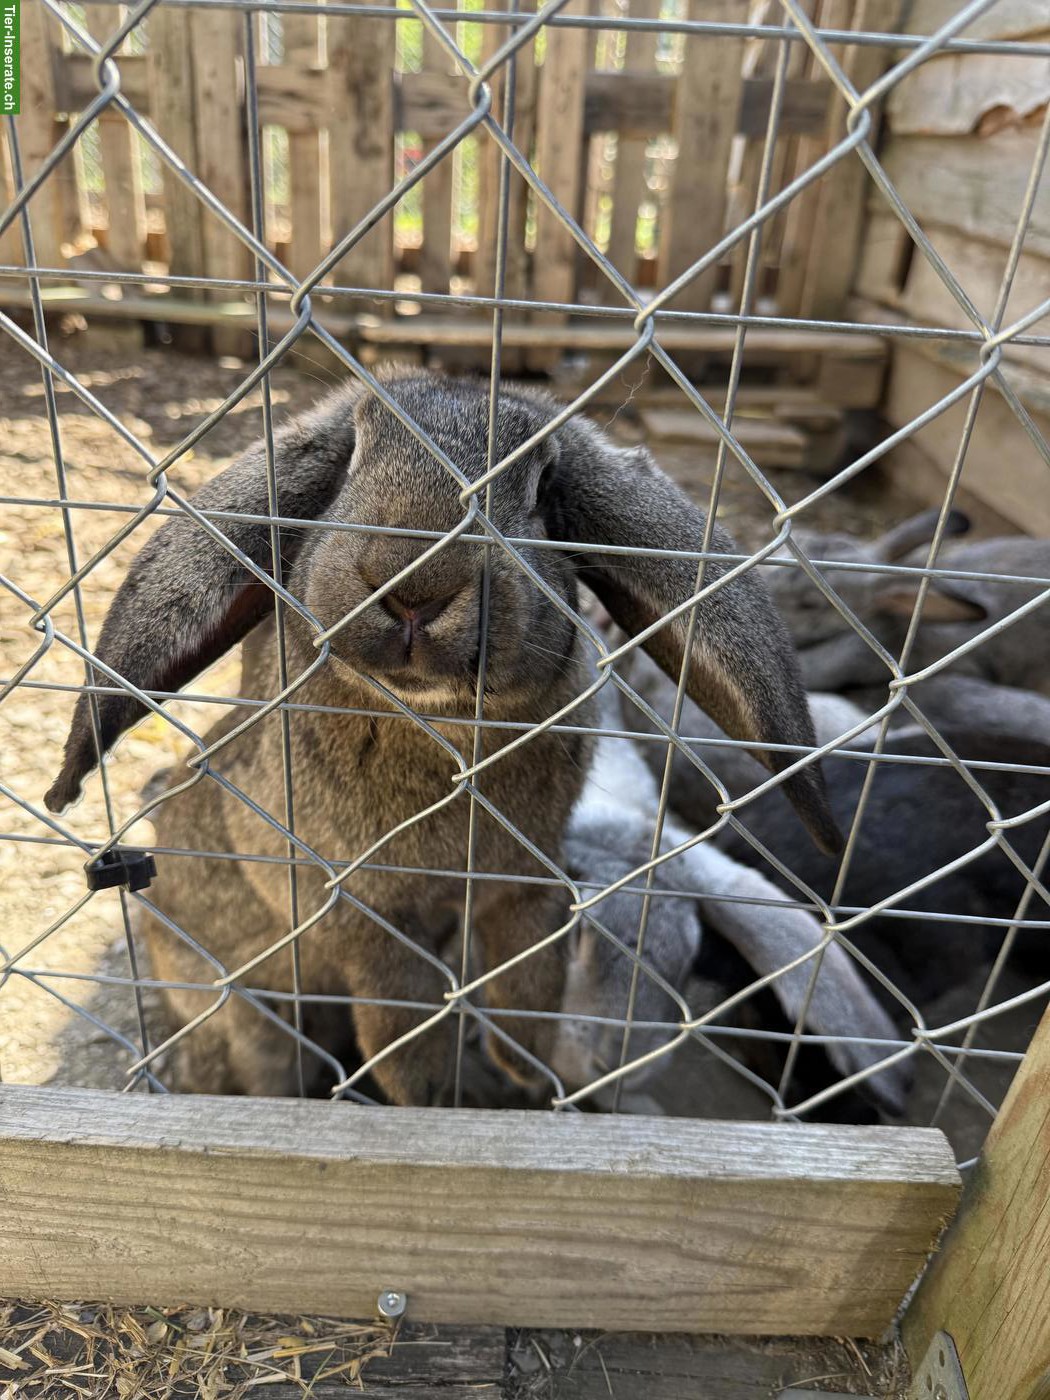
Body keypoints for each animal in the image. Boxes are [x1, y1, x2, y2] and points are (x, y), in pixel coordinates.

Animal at [45, 369, 838, 1106]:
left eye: (539, 485)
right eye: (350, 462)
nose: (412, 588)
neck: (443, 725)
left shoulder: (522, 883)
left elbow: (527, 982)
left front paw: (524, 1070)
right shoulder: (357, 910)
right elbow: (399, 1013)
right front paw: (429, 1093)